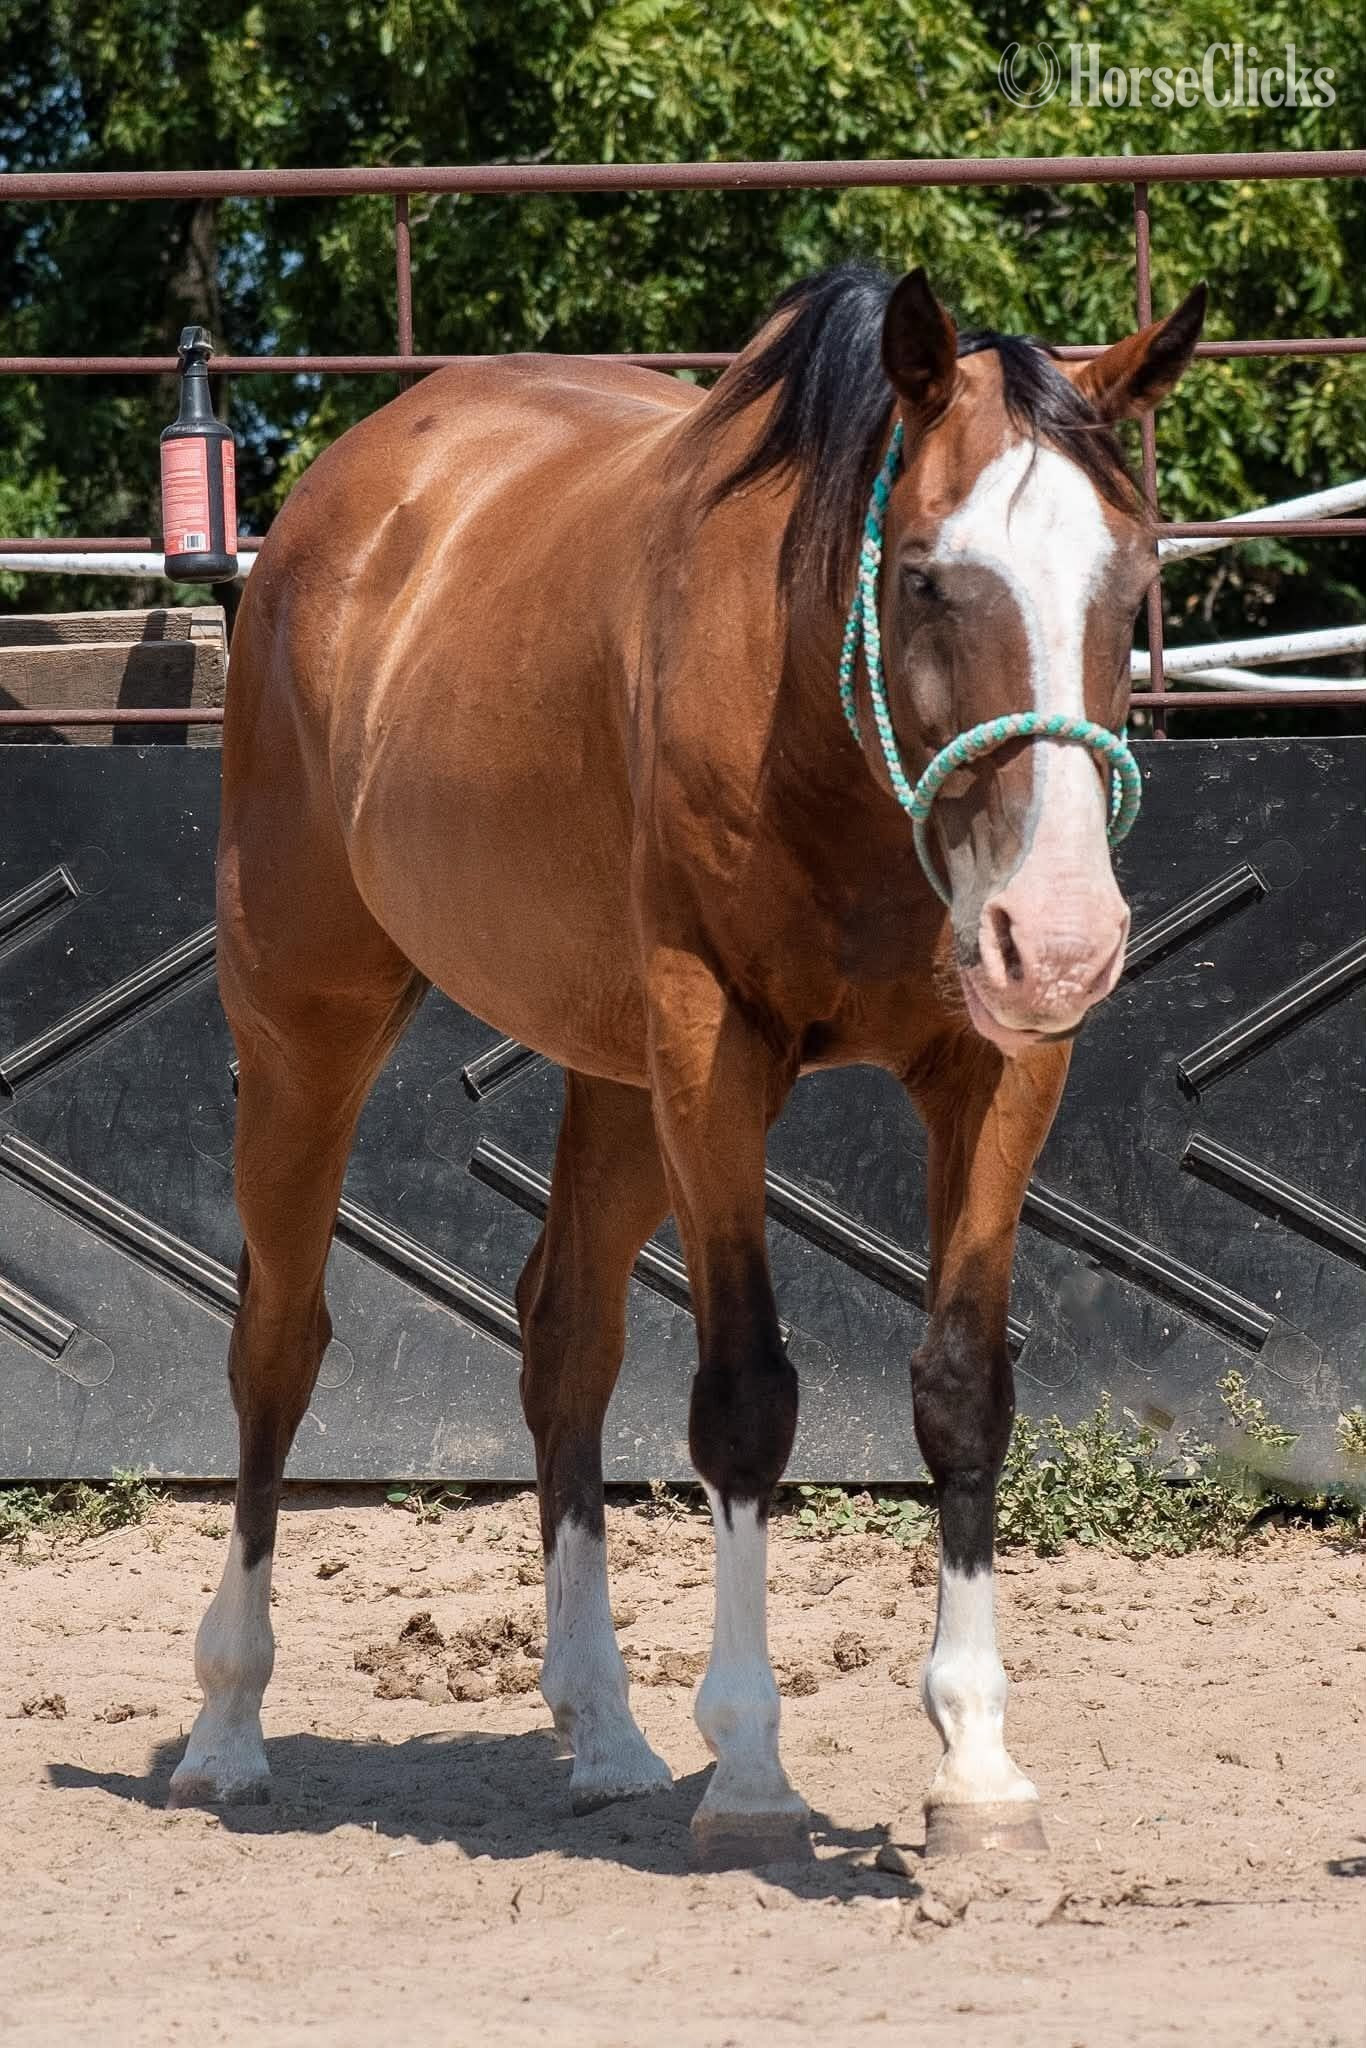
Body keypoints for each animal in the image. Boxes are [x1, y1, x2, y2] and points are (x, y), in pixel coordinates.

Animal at [168, 261, 1205, 1865]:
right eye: (923, 575)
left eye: (1132, 578)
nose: (1063, 938)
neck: (823, 733)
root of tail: (350, 494)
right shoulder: (713, 1051)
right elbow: (745, 1399)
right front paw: (754, 1766)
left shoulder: (995, 1071)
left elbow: (962, 1388)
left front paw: (974, 1766)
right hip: (304, 1022)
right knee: (277, 1343)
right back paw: (227, 1727)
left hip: (612, 1071)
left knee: (564, 1342)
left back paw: (601, 1731)